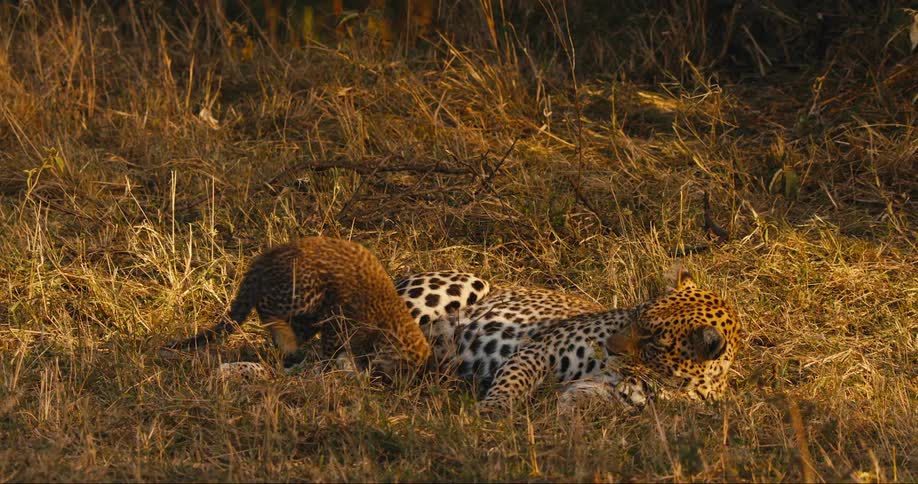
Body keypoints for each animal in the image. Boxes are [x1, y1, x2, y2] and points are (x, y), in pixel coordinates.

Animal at [164, 236, 432, 376]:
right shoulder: (336, 321)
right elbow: (331, 349)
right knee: (265, 308)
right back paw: (288, 342)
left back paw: (286, 344)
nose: (384, 382)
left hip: (308, 312)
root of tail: (265, 257)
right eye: (400, 368)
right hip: (302, 291)